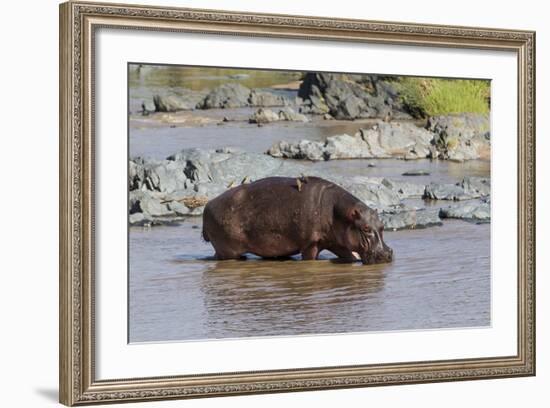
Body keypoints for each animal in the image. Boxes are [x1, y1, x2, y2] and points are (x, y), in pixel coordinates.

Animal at [202, 175, 392, 264]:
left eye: (382, 226)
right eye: (366, 228)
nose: (387, 253)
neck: (339, 213)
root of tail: (208, 204)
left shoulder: (337, 242)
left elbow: (350, 256)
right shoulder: (311, 243)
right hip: (227, 250)